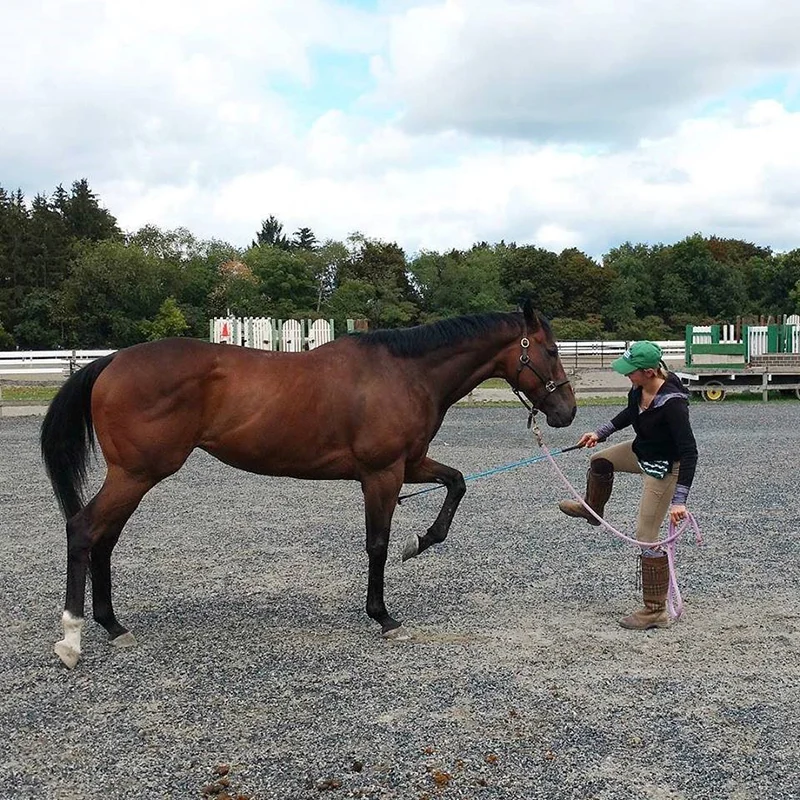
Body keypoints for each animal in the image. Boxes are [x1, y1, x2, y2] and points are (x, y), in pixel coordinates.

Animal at [42, 302, 576, 668]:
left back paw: (113, 625)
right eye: (550, 351)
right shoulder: (382, 473)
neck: (405, 371)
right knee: (84, 531)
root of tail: (111, 362)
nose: (566, 412)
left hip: (134, 477)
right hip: (136, 475)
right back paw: (71, 639)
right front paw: (383, 615)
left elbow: (457, 485)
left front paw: (419, 542)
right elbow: (377, 543)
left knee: (104, 540)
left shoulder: (410, 463)